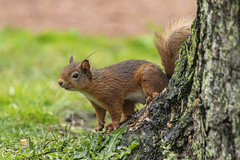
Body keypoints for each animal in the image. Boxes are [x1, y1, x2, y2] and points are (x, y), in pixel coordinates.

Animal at [58, 17, 193, 132]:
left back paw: (152, 96)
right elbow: (100, 116)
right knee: (128, 111)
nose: (59, 82)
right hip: (129, 100)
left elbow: (115, 111)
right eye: (62, 70)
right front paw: (99, 127)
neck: (93, 84)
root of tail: (167, 79)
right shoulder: (96, 104)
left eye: (75, 75)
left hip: (148, 76)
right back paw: (126, 118)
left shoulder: (111, 96)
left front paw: (114, 125)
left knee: (156, 89)